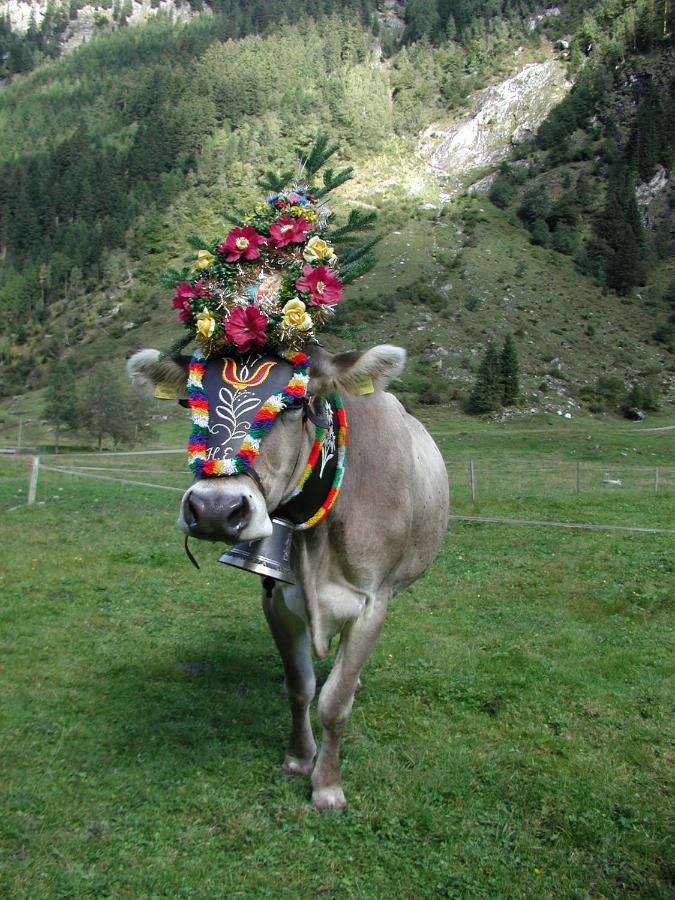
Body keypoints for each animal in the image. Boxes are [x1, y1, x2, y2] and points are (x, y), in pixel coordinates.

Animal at [129, 342, 452, 808]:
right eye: (190, 400)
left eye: (295, 403)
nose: (214, 510)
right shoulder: (275, 597)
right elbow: (300, 686)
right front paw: (299, 759)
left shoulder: (373, 603)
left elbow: (334, 702)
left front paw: (327, 785)